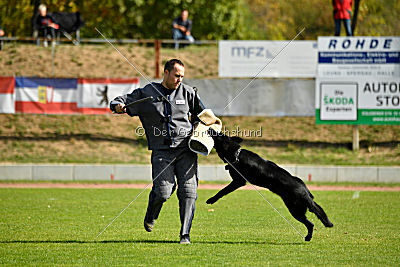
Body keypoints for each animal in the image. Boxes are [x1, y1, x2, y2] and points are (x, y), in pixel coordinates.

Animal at [206, 131, 334, 242]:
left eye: (218, 134)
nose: (210, 129)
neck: (236, 154)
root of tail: (305, 193)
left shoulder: (238, 181)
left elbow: (222, 191)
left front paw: (212, 199)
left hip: (294, 210)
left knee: (310, 224)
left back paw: (308, 237)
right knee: (312, 221)